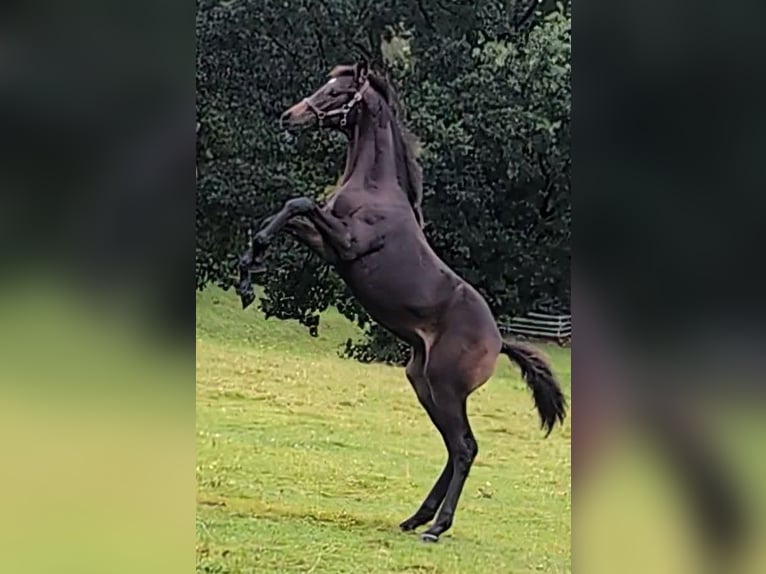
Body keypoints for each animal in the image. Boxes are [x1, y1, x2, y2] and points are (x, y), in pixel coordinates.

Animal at [237, 63, 568, 544]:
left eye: (338, 92)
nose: (290, 116)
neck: (374, 189)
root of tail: (499, 341)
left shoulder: (346, 244)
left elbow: (297, 203)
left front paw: (250, 271)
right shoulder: (328, 243)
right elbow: (285, 214)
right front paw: (248, 270)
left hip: (446, 386)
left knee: (465, 447)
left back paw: (436, 527)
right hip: (424, 383)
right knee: (454, 447)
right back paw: (417, 518)